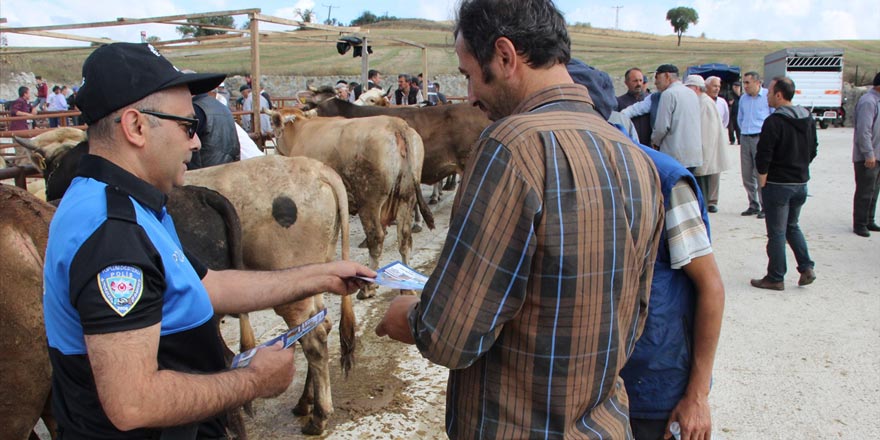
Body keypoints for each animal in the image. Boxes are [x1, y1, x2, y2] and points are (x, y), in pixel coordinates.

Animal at [268, 107, 434, 300]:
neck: (299, 132)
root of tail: (397, 125)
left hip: (370, 202)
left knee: (376, 238)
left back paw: (368, 288)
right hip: (406, 198)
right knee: (404, 238)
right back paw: (406, 288)